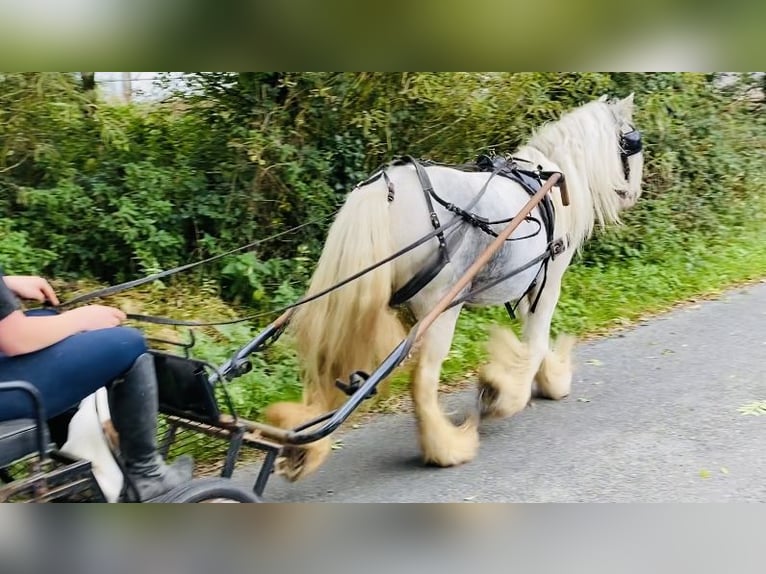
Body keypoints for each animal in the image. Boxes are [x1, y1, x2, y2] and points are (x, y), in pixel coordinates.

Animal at [268, 93, 644, 482]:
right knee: (422, 380)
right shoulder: (548, 278)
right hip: (441, 308)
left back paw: (301, 444)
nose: (634, 193)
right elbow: (536, 341)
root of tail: (385, 190)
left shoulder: (529, 283)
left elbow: (532, 339)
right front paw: (507, 393)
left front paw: (546, 377)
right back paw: (446, 448)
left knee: (327, 366)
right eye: (634, 142)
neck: (546, 177)